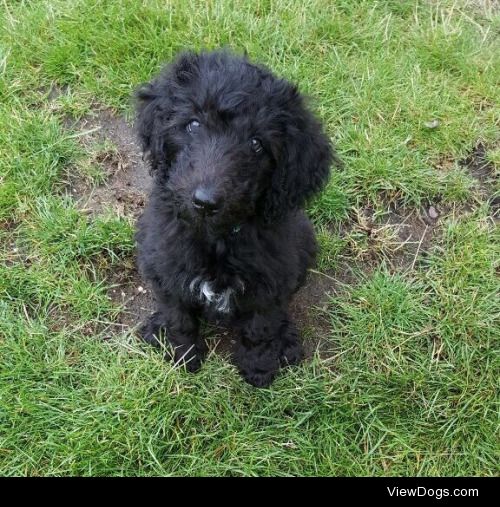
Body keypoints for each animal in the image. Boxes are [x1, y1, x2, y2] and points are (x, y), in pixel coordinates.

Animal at [135, 49, 336, 386]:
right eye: (193, 125)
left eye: (256, 144)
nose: (205, 202)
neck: (217, 237)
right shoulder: (166, 264)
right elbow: (178, 316)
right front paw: (182, 356)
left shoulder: (271, 278)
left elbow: (261, 325)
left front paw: (258, 367)